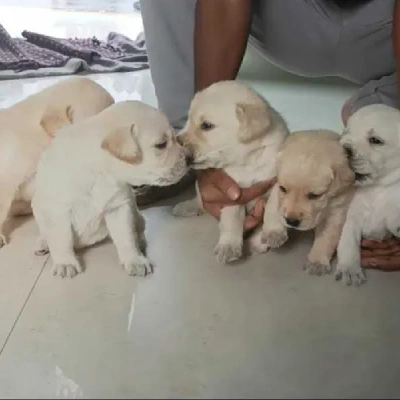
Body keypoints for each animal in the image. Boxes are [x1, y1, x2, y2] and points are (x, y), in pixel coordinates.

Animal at [32, 101, 188, 278]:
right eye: (161, 145)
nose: (189, 158)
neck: (100, 172)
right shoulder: (57, 211)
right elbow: (61, 239)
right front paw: (65, 263)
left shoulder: (118, 207)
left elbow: (126, 237)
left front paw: (134, 260)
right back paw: (43, 243)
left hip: (133, 210)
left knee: (139, 225)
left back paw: (140, 242)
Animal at [171, 80, 288, 264]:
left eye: (206, 126)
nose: (176, 141)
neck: (245, 163)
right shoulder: (231, 193)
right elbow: (231, 218)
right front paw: (229, 246)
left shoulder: (277, 181)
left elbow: (273, 205)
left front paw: (273, 232)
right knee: (199, 200)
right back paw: (188, 206)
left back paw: (257, 242)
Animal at [255, 131, 354, 276]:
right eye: (283, 189)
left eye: (314, 195)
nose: (291, 221)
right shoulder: (276, 188)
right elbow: (273, 208)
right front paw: (274, 233)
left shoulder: (338, 207)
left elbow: (327, 237)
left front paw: (317, 261)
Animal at [336, 103, 400, 284]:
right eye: (345, 133)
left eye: (375, 140)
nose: (343, 148)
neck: (377, 187)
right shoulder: (353, 217)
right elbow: (348, 241)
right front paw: (349, 268)